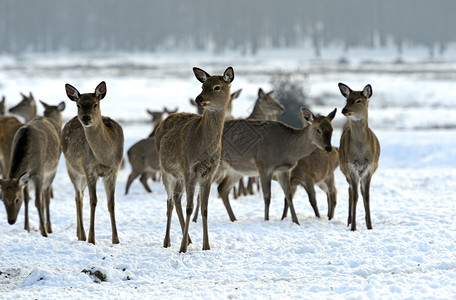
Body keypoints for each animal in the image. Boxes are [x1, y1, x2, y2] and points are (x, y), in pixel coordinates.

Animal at [0, 99, 65, 236]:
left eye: (16, 200)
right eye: (2, 199)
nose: (11, 221)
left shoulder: (39, 173)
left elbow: (38, 202)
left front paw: (44, 233)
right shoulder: (27, 178)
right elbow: (27, 199)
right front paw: (27, 228)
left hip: (52, 170)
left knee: (46, 196)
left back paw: (48, 227)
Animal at [62, 81, 124, 244]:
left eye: (95, 104)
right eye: (78, 105)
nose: (85, 118)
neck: (105, 157)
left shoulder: (114, 170)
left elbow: (111, 203)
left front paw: (116, 240)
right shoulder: (90, 169)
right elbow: (94, 201)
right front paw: (91, 239)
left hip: (82, 175)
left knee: (80, 196)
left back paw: (79, 234)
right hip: (72, 168)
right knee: (78, 197)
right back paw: (82, 235)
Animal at [156, 67, 235, 252]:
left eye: (217, 87)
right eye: (202, 85)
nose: (199, 98)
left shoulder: (209, 172)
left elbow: (204, 209)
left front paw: (206, 246)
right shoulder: (190, 168)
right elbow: (190, 207)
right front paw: (182, 248)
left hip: (179, 176)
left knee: (177, 199)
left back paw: (189, 240)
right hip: (166, 171)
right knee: (170, 202)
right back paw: (168, 241)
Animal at [338, 83, 382, 231]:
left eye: (358, 100)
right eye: (347, 99)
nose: (344, 110)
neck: (361, 153)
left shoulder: (369, 168)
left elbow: (366, 196)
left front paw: (370, 226)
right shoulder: (351, 166)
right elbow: (355, 196)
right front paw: (353, 227)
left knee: (359, 192)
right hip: (345, 170)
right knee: (351, 191)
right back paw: (349, 220)